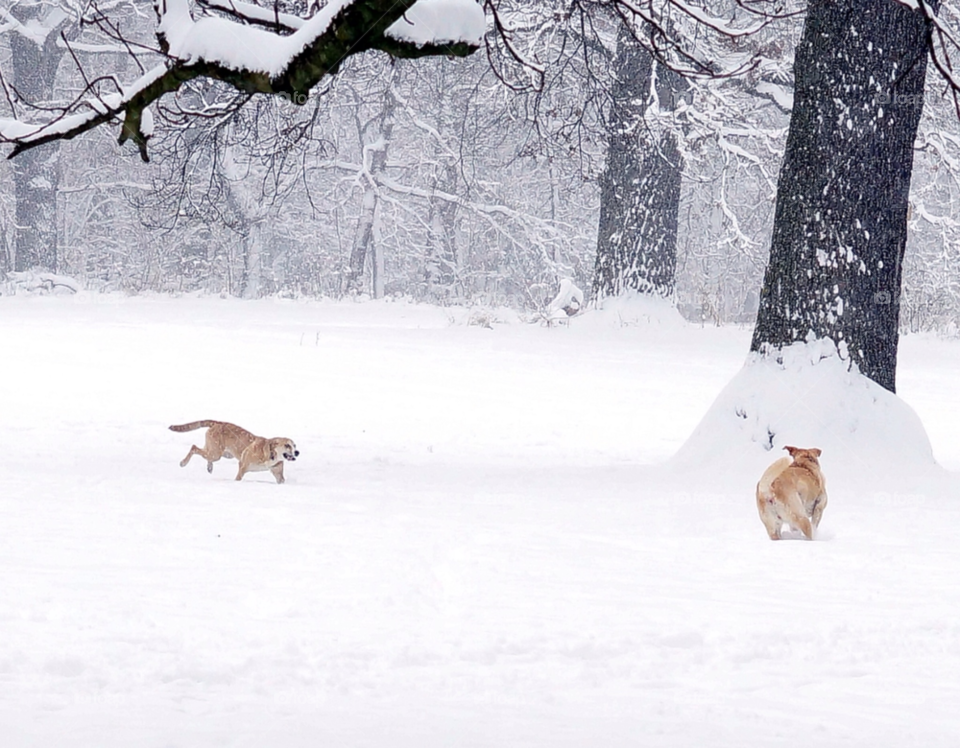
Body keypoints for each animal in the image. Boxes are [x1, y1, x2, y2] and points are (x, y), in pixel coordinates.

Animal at [168, 420, 296, 486]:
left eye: (295, 445)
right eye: (287, 445)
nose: (297, 452)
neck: (270, 454)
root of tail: (217, 423)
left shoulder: (278, 473)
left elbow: (281, 480)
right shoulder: (242, 466)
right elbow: (238, 478)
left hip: (220, 453)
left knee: (205, 455)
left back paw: (209, 467)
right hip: (215, 453)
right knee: (194, 447)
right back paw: (183, 462)